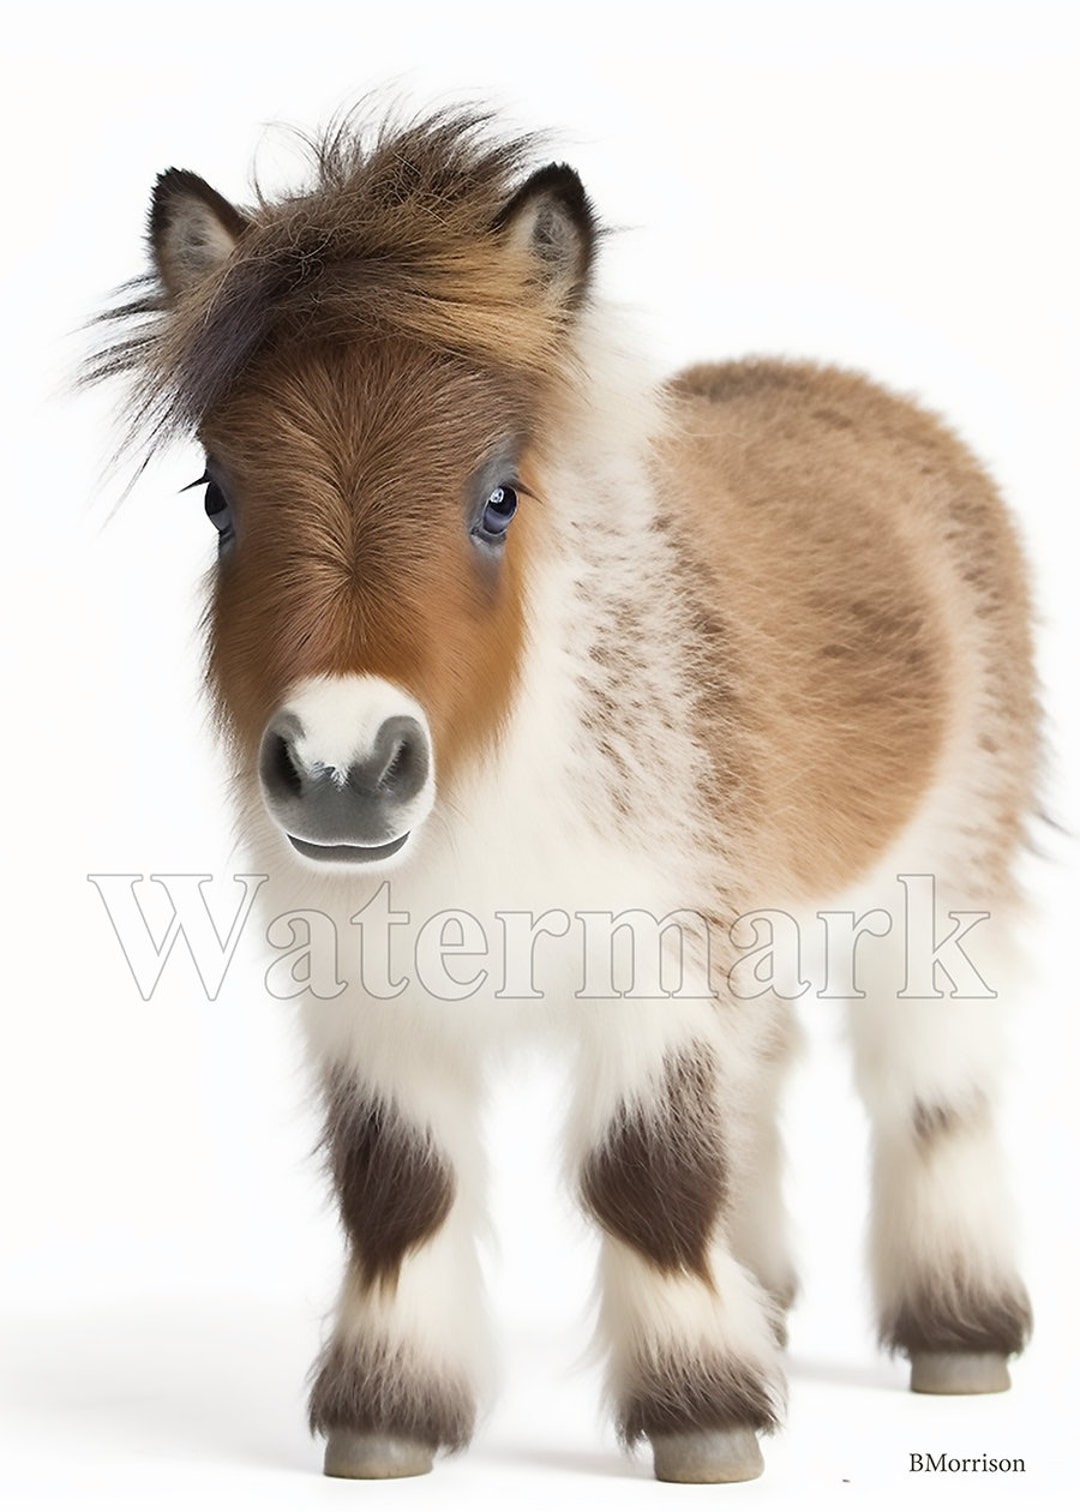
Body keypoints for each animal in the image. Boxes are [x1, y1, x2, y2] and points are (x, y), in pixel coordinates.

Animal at [89, 108, 1037, 1483]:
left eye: (498, 496)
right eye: (217, 494)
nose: (342, 769)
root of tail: (859, 395)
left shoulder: (653, 966)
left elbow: (649, 1178)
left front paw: (703, 1416)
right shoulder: (371, 995)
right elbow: (401, 1191)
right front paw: (388, 1416)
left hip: (950, 870)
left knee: (936, 1090)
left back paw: (959, 1334)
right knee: (768, 1071)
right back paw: (769, 1302)